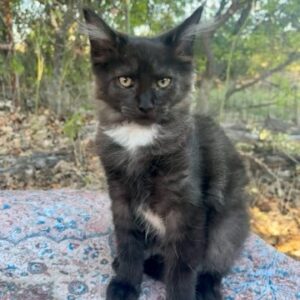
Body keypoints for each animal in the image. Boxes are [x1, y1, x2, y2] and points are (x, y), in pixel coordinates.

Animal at [84, 6, 248, 300]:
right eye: (125, 80)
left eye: (163, 82)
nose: (146, 105)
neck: (139, 138)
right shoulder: (121, 198)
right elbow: (128, 245)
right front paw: (126, 282)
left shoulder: (188, 210)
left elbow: (182, 266)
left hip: (229, 223)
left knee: (216, 260)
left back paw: (206, 286)